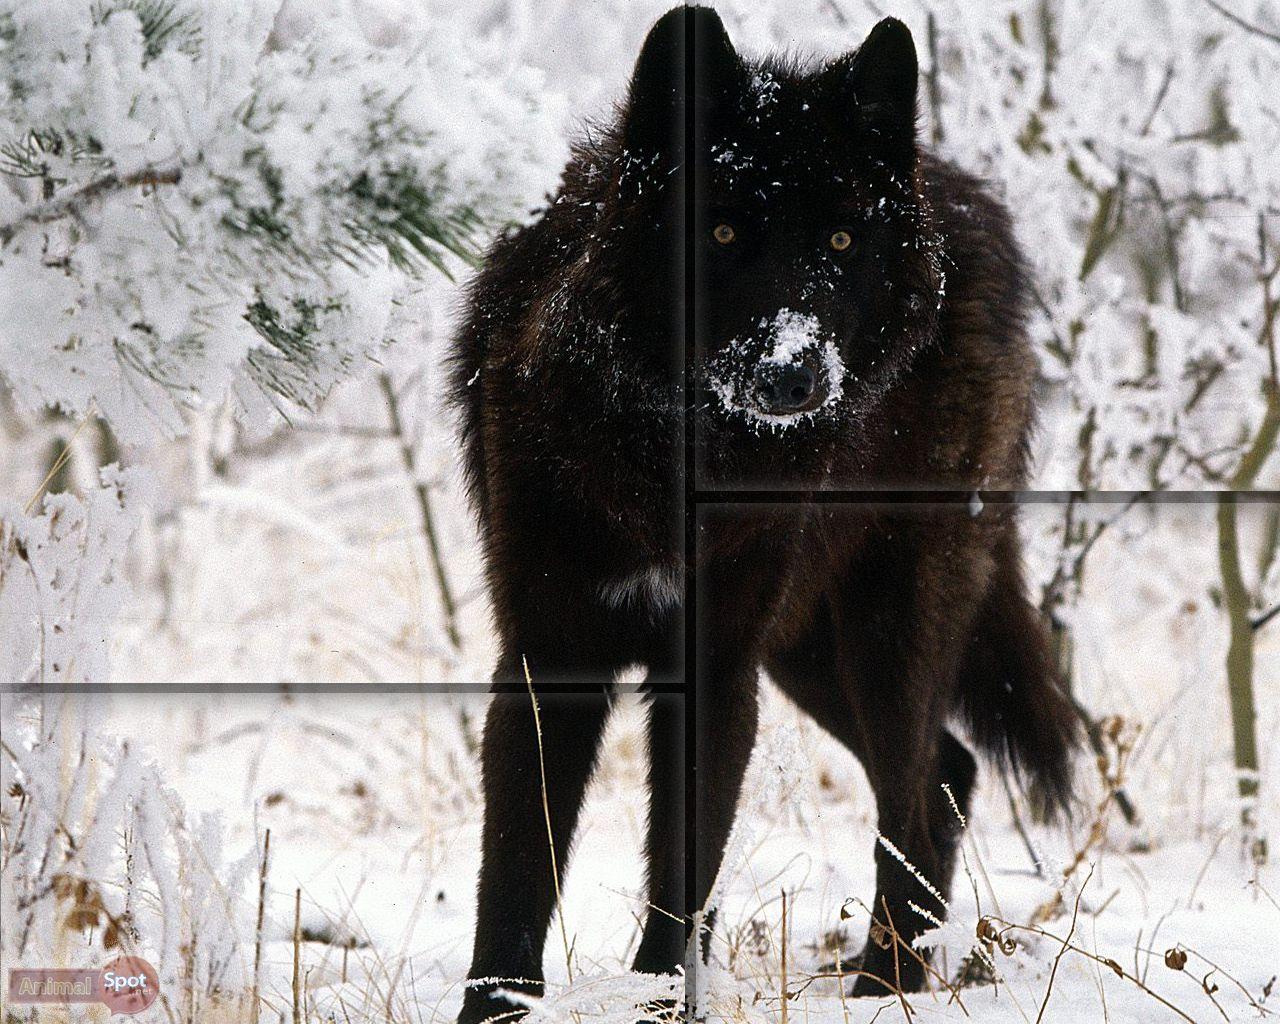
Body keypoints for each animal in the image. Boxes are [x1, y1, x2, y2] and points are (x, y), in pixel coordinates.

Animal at [451, 7, 1078, 1021]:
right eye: (723, 229)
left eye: (841, 244)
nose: (794, 374)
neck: (673, 457)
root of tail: (961, 193)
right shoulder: (549, 656)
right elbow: (514, 876)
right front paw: (497, 1010)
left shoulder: (715, 671)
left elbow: (684, 880)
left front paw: (665, 1003)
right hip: (806, 652)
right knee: (948, 772)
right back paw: (889, 981)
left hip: (885, 631)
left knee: (917, 792)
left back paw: (885, 986)